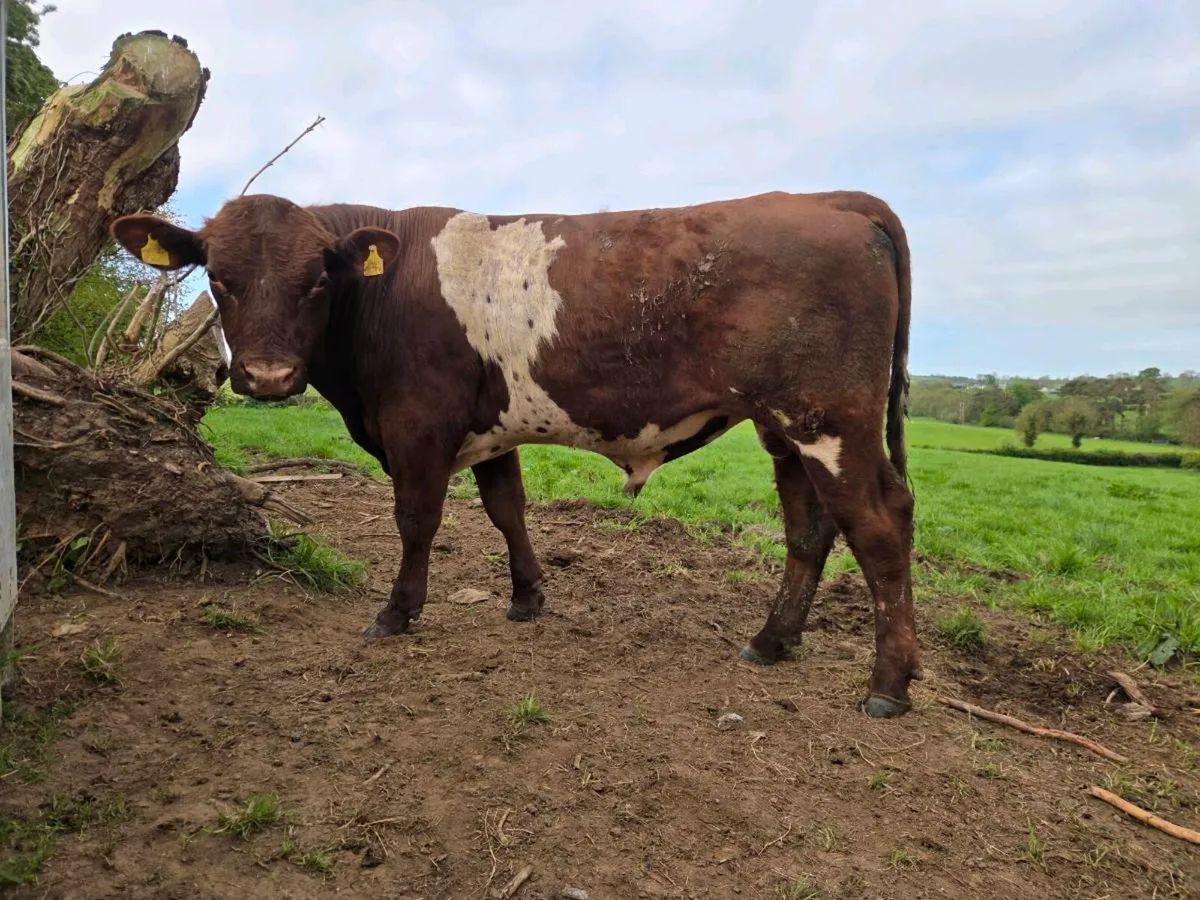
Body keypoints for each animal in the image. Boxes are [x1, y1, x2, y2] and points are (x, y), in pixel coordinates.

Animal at [110, 188, 920, 717]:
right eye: (219, 278)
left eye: (317, 279)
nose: (270, 377)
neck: (384, 294)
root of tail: (830, 199)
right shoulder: (489, 426)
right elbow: (508, 509)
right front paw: (528, 597)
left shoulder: (419, 426)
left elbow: (417, 521)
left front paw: (397, 612)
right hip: (785, 428)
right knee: (810, 529)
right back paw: (772, 640)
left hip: (827, 418)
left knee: (880, 527)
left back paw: (888, 684)